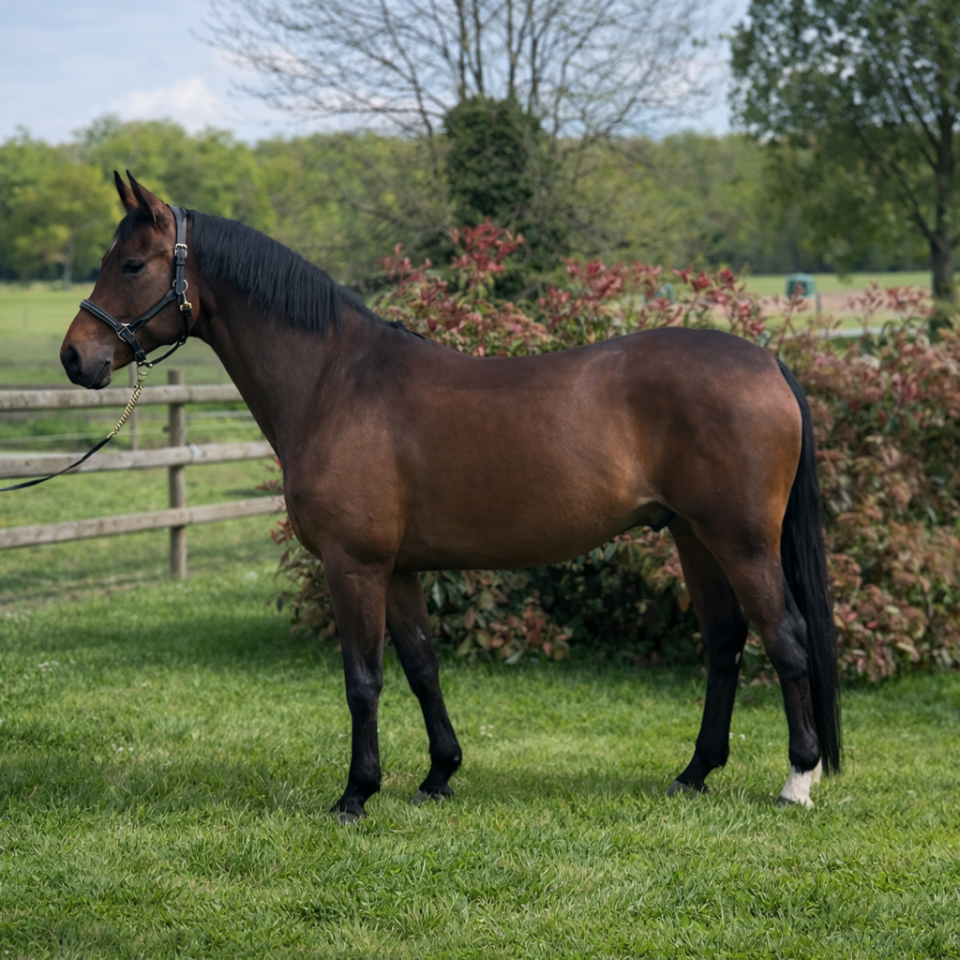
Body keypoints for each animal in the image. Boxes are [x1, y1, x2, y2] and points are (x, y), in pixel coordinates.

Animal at [60, 172, 841, 821]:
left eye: (132, 264)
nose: (75, 356)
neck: (335, 382)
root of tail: (767, 361)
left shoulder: (353, 566)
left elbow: (363, 679)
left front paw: (356, 793)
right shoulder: (400, 569)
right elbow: (422, 667)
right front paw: (438, 775)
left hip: (741, 542)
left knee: (787, 639)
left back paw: (797, 781)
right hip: (691, 536)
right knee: (726, 643)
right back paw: (694, 773)